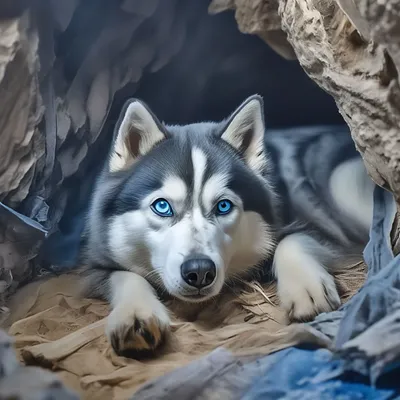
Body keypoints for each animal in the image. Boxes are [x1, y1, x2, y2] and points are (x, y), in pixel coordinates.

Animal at [81, 95, 376, 358]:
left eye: (223, 206)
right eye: (162, 206)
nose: (199, 272)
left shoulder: (324, 232)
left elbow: (292, 240)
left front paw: (306, 286)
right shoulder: (91, 265)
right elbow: (124, 275)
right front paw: (135, 312)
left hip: (342, 184)